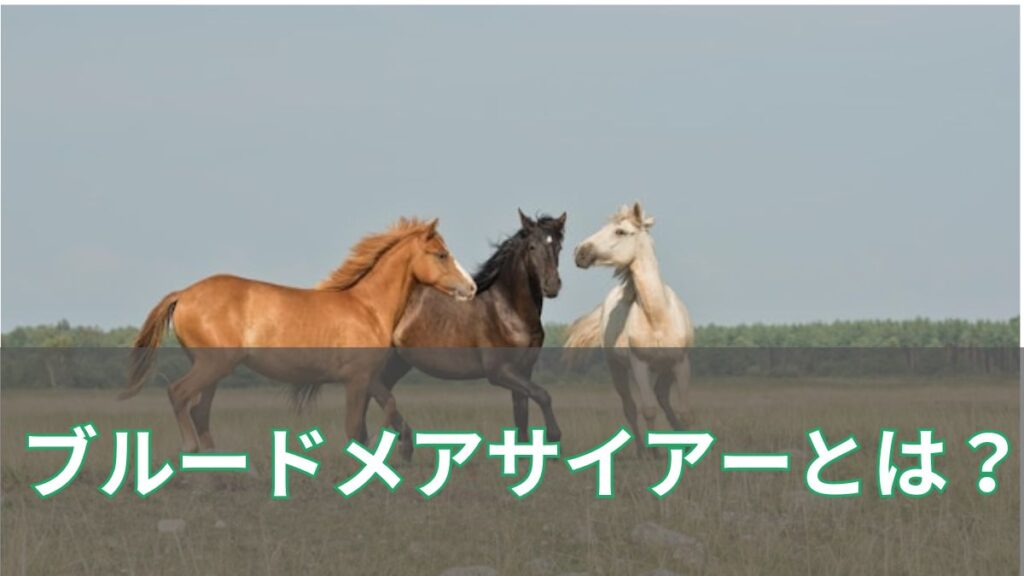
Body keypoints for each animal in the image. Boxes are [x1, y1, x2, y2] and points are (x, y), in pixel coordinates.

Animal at [119, 218, 477, 453]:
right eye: (441, 254)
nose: (471, 287)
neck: (367, 308)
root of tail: (183, 294)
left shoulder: (369, 377)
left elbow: (388, 410)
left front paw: (402, 448)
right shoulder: (356, 380)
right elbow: (354, 427)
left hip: (213, 372)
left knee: (199, 411)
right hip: (212, 366)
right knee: (179, 395)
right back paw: (191, 450)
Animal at [353, 210, 566, 459]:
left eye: (558, 246)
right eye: (532, 246)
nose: (552, 286)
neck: (508, 309)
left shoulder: (524, 369)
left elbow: (521, 412)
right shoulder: (499, 371)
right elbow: (542, 395)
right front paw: (554, 436)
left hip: (398, 362)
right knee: (374, 388)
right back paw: (400, 444)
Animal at [564, 203, 694, 456]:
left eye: (620, 231)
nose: (579, 252)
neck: (657, 317)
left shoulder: (680, 363)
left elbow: (685, 410)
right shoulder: (639, 365)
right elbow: (648, 409)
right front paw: (655, 453)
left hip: (664, 369)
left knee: (662, 397)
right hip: (619, 370)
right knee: (631, 407)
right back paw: (643, 451)